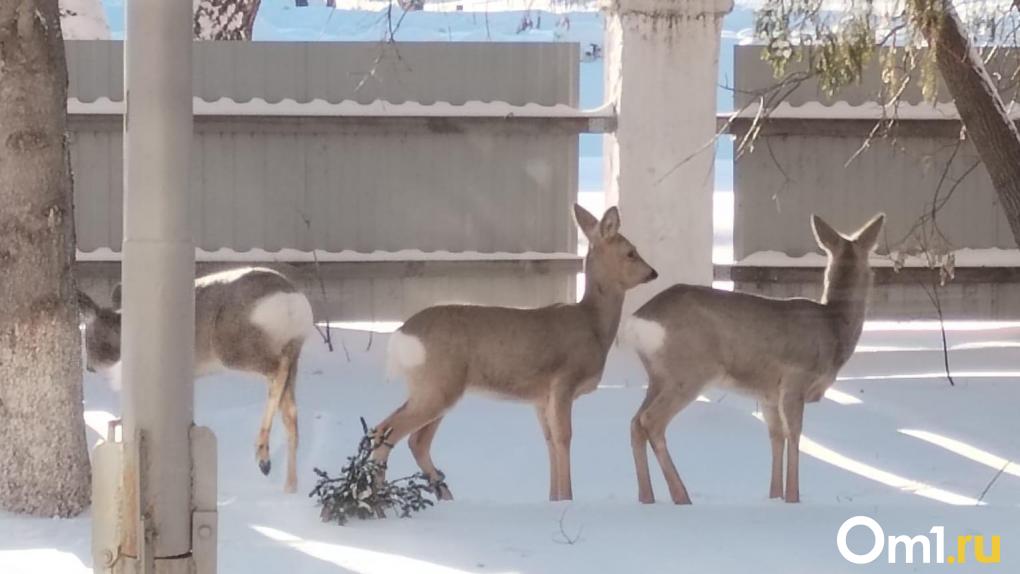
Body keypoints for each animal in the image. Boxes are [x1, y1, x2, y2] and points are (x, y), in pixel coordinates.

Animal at [77, 267, 310, 491]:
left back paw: (263, 455)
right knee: (290, 410)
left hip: (234, 347)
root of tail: (292, 302)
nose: (89, 367)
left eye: (88, 339)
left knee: (277, 370)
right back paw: (289, 485)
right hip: (292, 347)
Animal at [377, 203, 660, 501]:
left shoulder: (540, 397)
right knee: (387, 432)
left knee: (413, 440)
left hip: (435, 387)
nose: (653, 272)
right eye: (631, 252)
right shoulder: (563, 381)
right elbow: (564, 437)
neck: (592, 323)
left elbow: (549, 441)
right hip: (438, 385)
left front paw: (554, 499)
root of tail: (401, 334)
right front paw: (568, 498)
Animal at [620, 213, 885, 505]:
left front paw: (775, 496)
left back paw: (647, 497)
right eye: (871, 263)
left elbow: (776, 437)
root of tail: (637, 321)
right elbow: (795, 435)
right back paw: (681, 496)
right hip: (689, 372)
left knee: (635, 422)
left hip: (658, 375)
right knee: (651, 421)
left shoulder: (768, 394)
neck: (833, 327)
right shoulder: (795, 380)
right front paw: (794, 498)